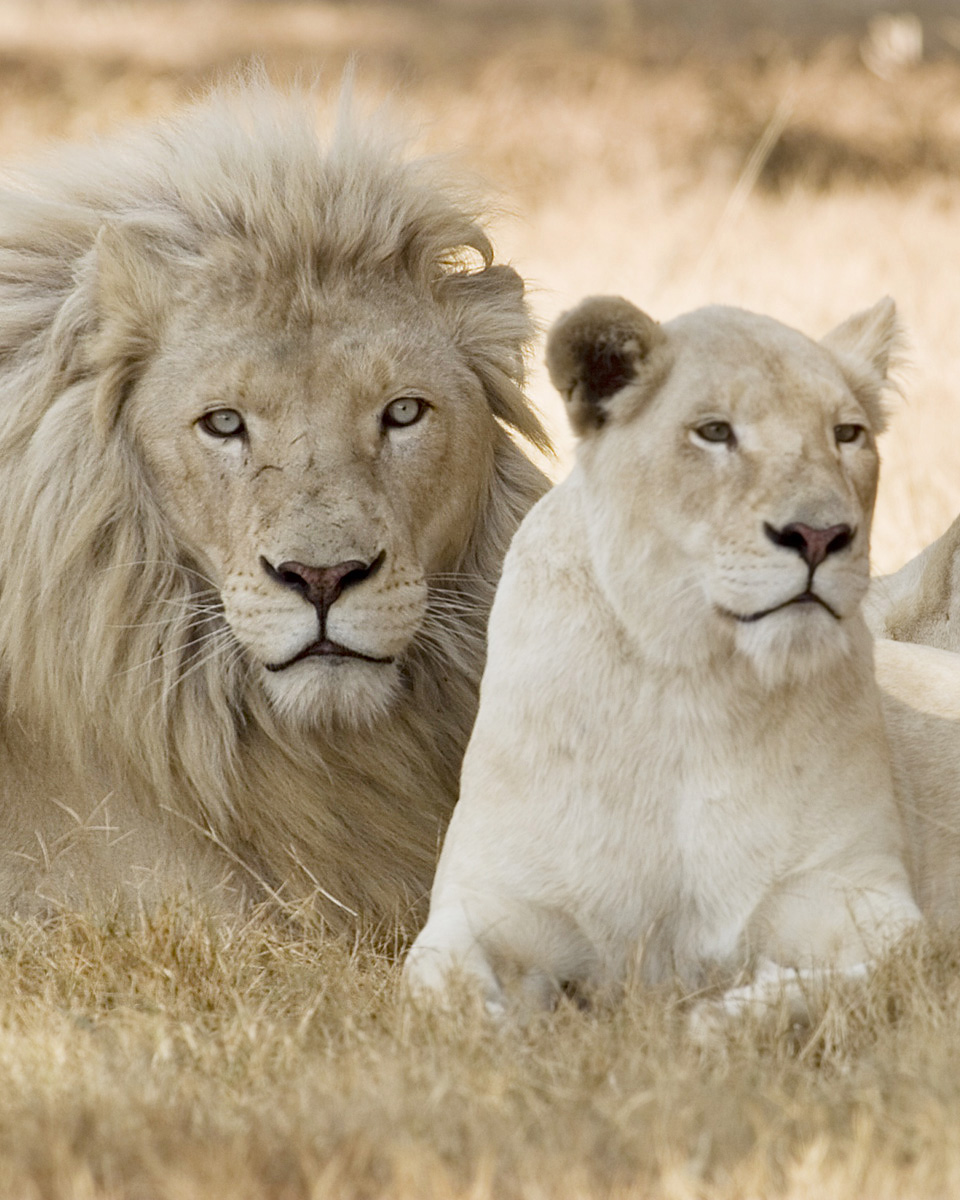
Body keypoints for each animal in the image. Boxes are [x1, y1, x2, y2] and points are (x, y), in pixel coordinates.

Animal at [405, 294, 960, 1017]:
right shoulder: (491, 900)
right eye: (715, 432)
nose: (820, 535)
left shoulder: (855, 892)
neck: (689, 679)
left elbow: (885, 973)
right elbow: (442, 992)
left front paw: (732, 1014)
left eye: (847, 434)